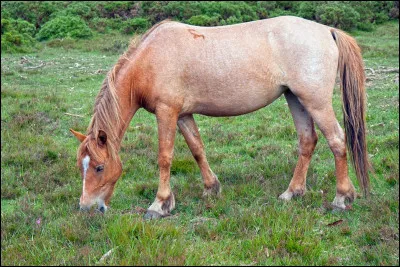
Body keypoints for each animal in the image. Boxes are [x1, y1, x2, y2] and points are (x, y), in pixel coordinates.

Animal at [69, 15, 368, 220]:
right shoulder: (183, 115)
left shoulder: (167, 112)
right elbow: (197, 149)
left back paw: (342, 198)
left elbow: (165, 157)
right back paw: (291, 193)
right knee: (307, 141)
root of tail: (327, 31)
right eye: (80, 166)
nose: (86, 207)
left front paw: (159, 204)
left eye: (99, 167)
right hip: (295, 99)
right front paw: (211, 188)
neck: (151, 59)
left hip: (315, 102)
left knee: (337, 141)